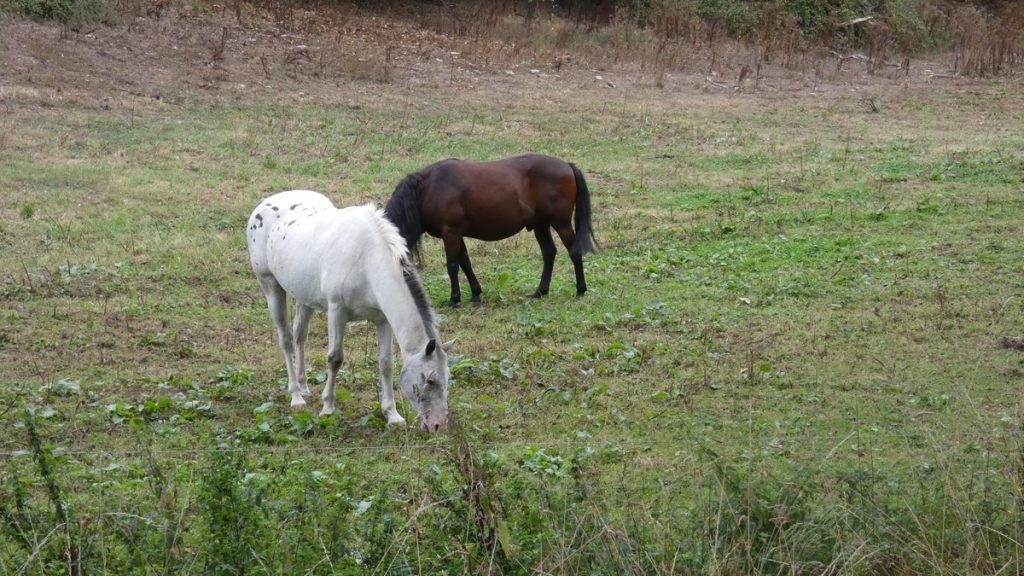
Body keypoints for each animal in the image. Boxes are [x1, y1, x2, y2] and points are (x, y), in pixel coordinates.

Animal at [246, 190, 454, 432]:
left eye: (447, 378)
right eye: (429, 380)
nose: (438, 424)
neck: (367, 260)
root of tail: (266, 203)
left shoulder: (383, 320)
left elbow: (386, 363)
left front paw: (392, 414)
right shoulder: (337, 311)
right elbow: (335, 359)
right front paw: (327, 407)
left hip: (304, 297)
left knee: (300, 336)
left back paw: (304, 385)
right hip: (271, 287)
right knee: (286, 340)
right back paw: (296, 395)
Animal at [384, 153, 597, 308]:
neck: (428, 188)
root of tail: (567, 166)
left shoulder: (450, 232)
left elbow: (452, 266)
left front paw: (454, 299)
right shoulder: (457, 234)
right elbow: (465, 263)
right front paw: (475, 294)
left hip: (560, 224)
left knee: (574, 252)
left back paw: (580, 290)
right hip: (540, 225)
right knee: (549, 253)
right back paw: (540, 292)